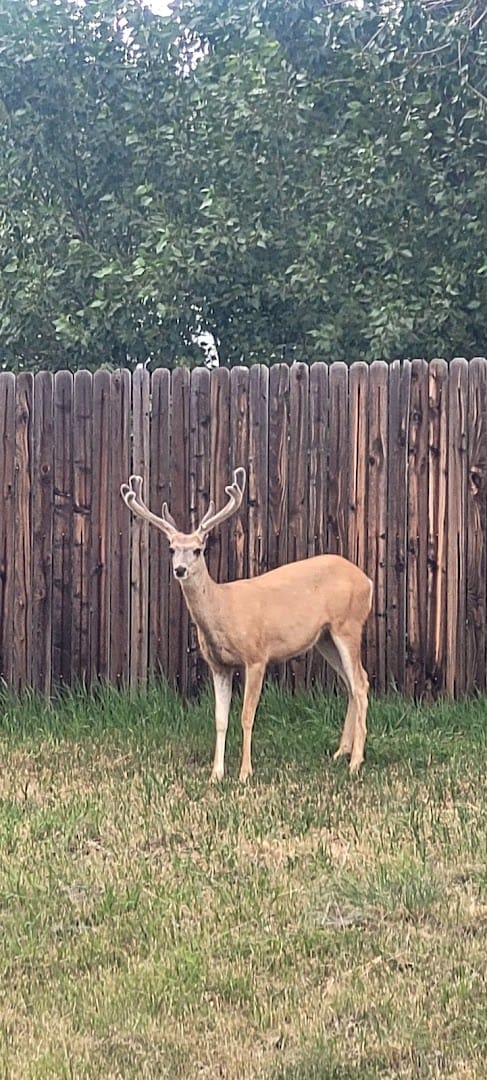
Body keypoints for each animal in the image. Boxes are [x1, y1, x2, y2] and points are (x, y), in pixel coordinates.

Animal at [120, 467, 373, 781]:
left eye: (198, 550)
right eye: (171, 548)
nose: (180, 569)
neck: (224, 610)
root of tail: (367, 581)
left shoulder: (256, 656)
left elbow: (247, 715)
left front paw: (244, 772)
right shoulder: (218, 665)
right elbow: (220, 718)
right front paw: (216, 774)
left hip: (348, 623)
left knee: (361, 682)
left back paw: (356, 762)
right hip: (325, 638)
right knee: (351, 682)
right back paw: (341, 752)